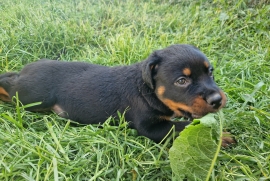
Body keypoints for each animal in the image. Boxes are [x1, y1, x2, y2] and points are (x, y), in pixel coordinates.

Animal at [0, 44, 229, 144]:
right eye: (182, 81)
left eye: (210, 72)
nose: (217, 100)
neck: (147, 90)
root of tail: (28, 68)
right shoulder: (150, 127)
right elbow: (179, 127)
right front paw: (220, 136)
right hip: (31, 96)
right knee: (10, 84)